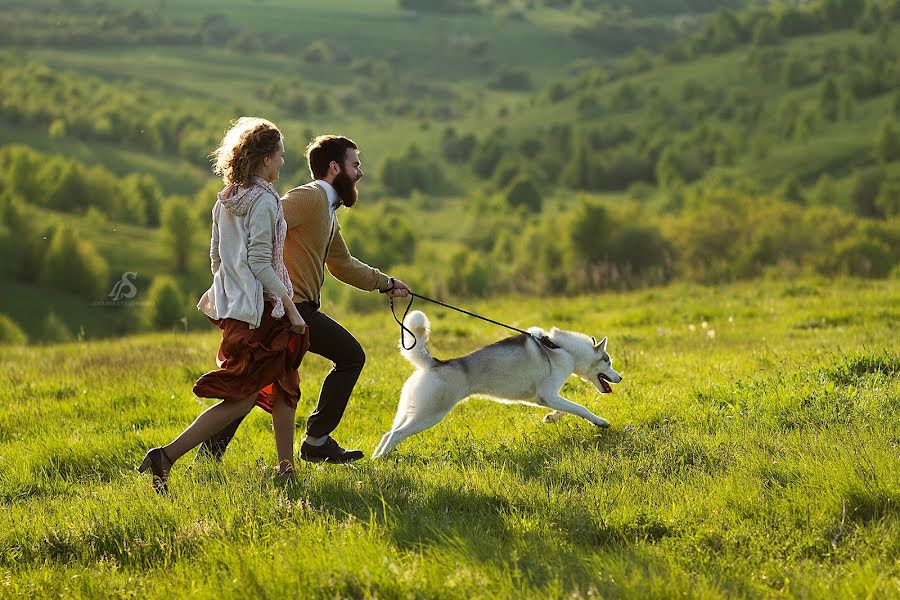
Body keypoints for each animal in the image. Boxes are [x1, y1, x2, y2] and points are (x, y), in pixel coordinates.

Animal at [370, 312, 624, 458]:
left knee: (387, 434)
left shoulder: (540, 398)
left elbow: (566, 410)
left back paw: (375, 459)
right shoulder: (548, 395)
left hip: (411, 410)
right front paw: (600, 422)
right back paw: (382, 460)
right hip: (429, 415)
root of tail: (436, 363)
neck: (563, 348)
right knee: (395, 436)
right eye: (609, 362)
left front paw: (551, 418)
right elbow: (580, 408)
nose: (620, 378)